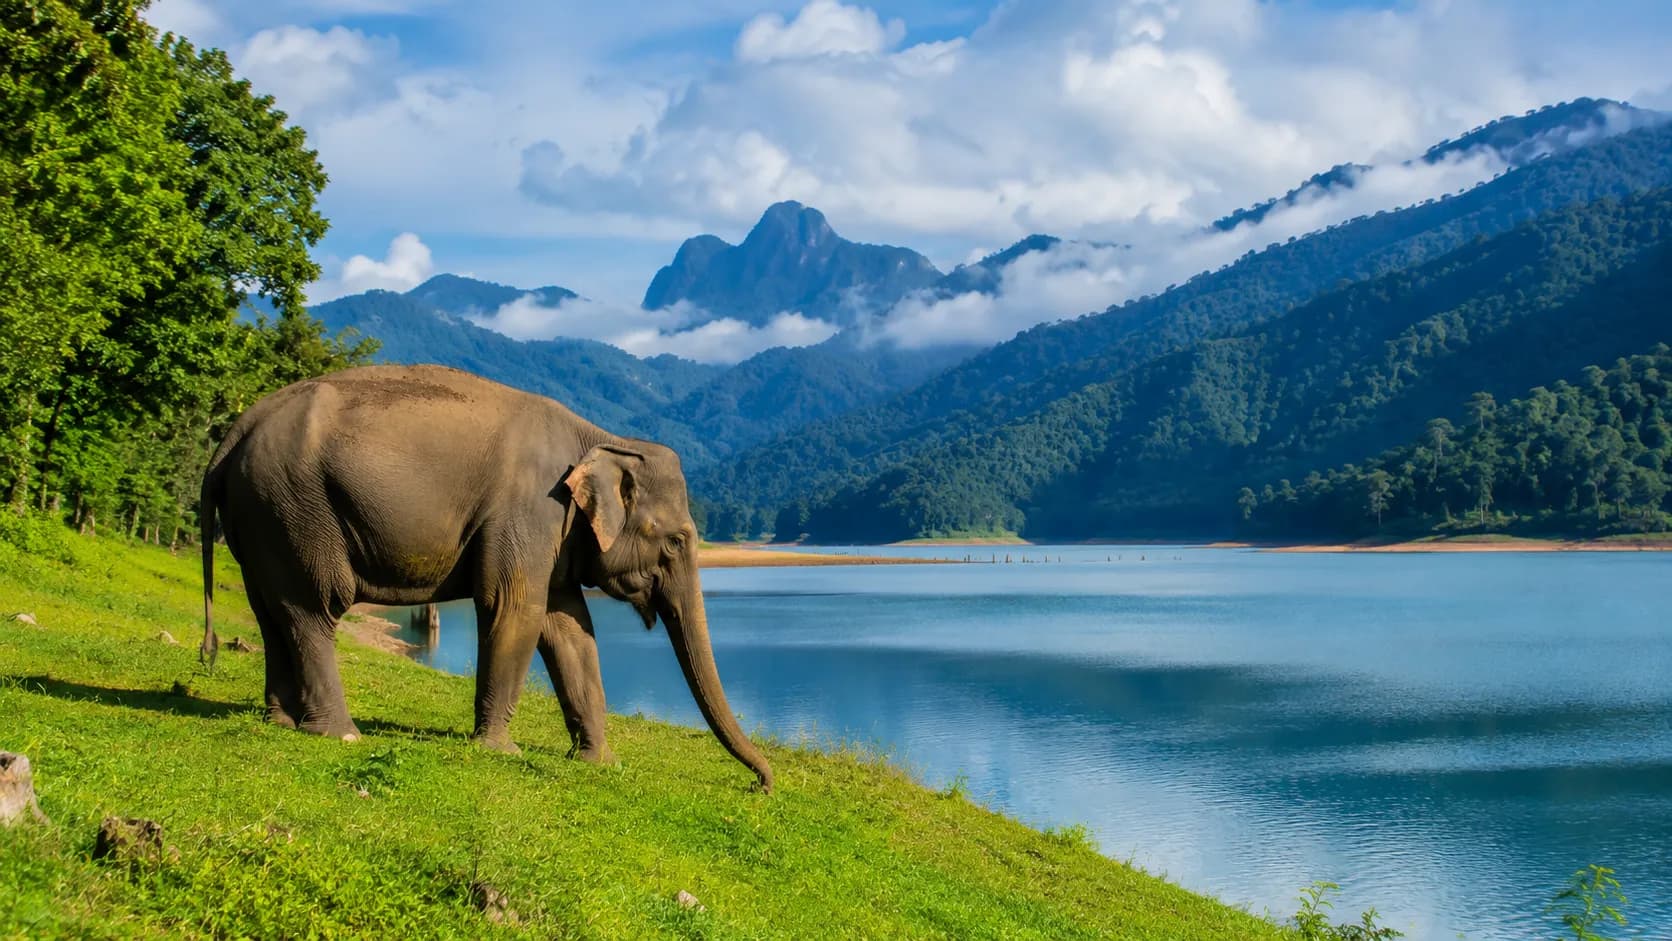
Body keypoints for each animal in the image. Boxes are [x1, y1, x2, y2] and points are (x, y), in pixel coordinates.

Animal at [197, 363, 773, 792]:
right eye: (675, 541)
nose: (761, 785)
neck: (601, 439)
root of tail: (234, 433)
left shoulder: (556, 531)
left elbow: (569, 626)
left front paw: (599, 764)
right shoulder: (529, 510)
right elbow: (515, 609)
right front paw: (501, 750)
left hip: (261, 518)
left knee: (273, 613)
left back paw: (281, 723)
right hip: (296, 509)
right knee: (313, 609)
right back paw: (341, 735)